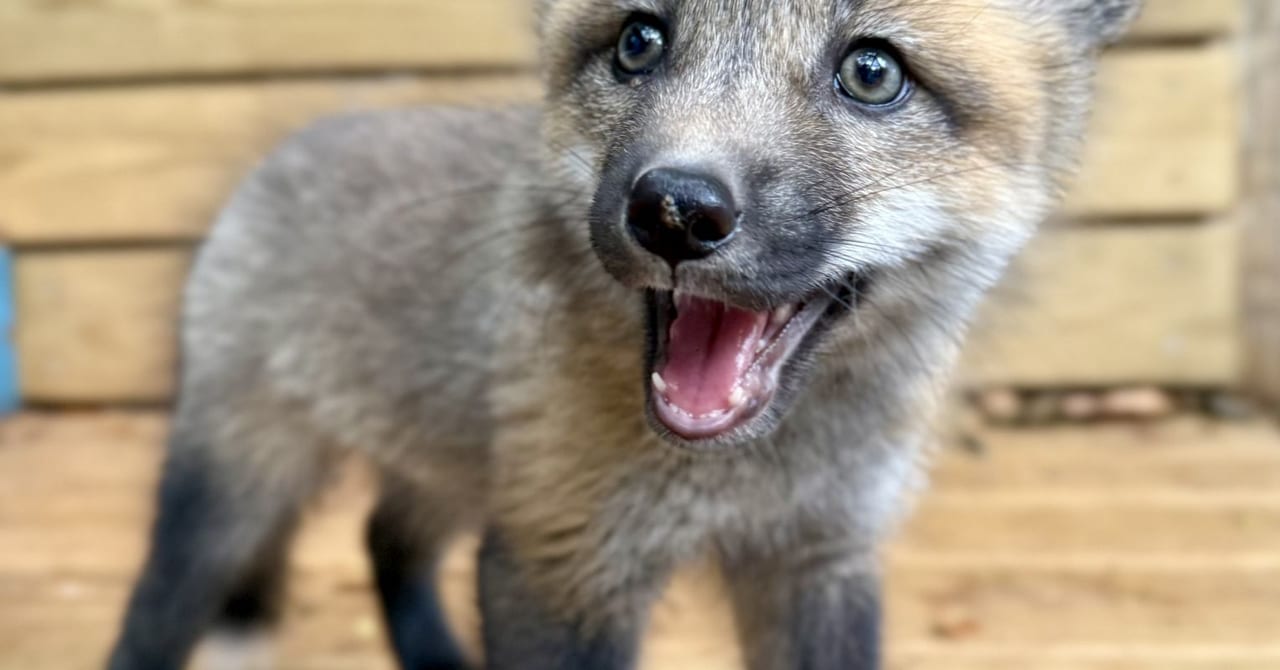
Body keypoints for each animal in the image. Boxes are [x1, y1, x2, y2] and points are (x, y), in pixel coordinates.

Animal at [107, 1, 1141, 668]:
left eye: (872, 71)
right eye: (640, 41)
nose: (675, 209)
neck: (746, 473)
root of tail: (292, 141)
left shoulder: (819, 554)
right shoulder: (555, 559)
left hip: (456, 470)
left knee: (385, 539)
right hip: (232, 489)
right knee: (157, 611)